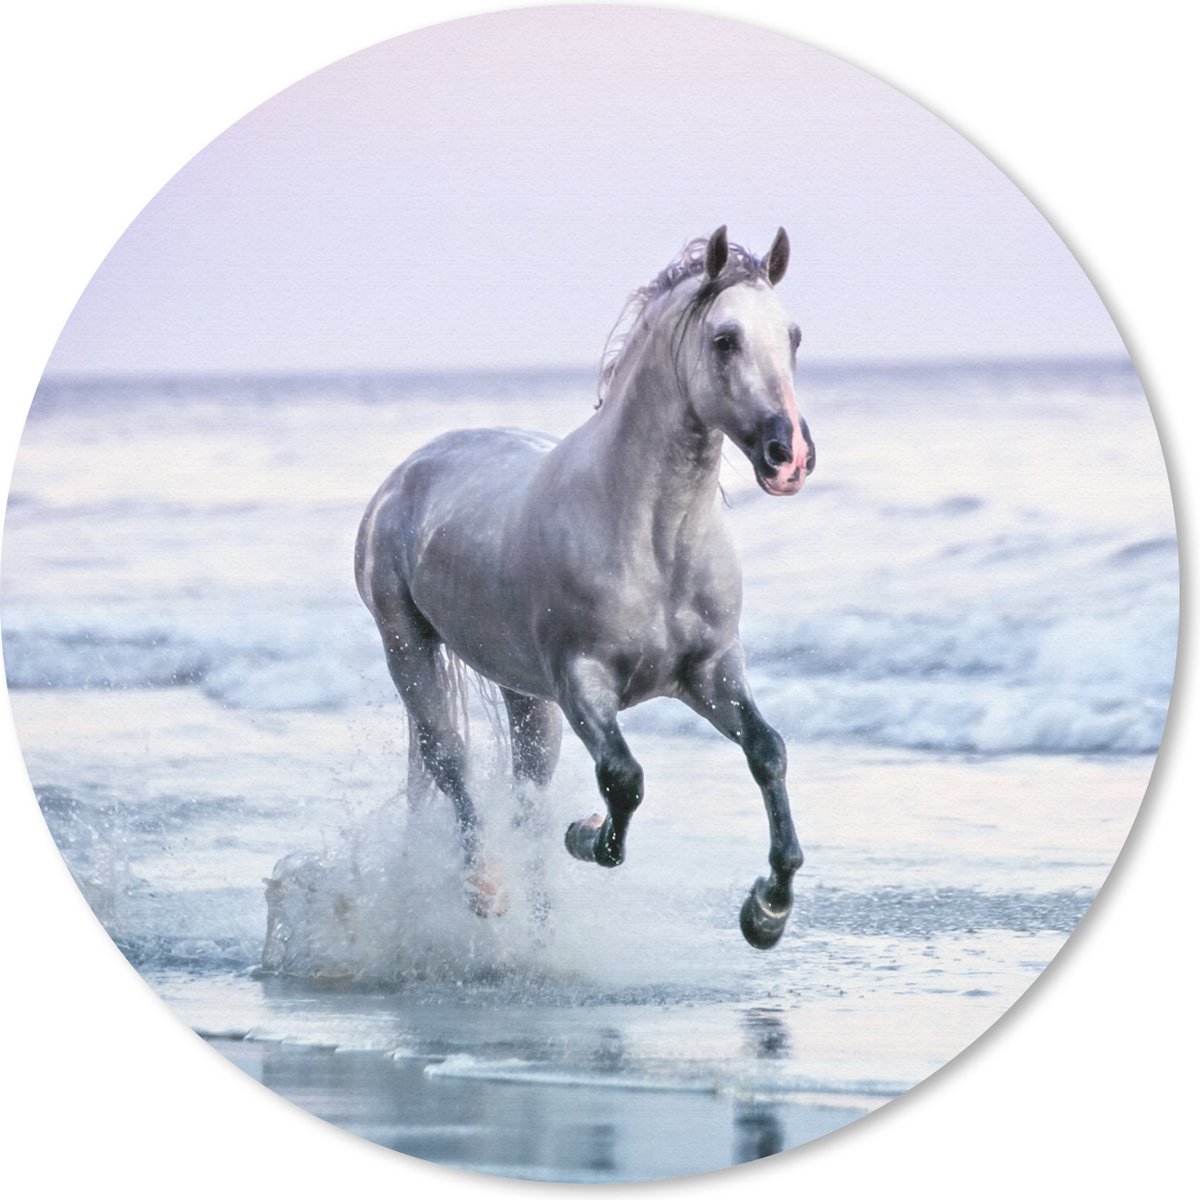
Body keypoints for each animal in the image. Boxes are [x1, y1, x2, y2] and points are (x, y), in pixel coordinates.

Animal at [355, 226, 815, 948]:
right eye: (725, 339)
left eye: (792, 336)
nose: (788, 456)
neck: (653, 539)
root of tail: (405, 474)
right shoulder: (582, 683)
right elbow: (623, 781)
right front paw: (587, 834)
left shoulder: (710, 672)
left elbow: (768, 752)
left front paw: (767, 912)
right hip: (410, 650)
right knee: (451, 764)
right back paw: (485, 888)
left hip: (522, 694)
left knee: (526, 792)